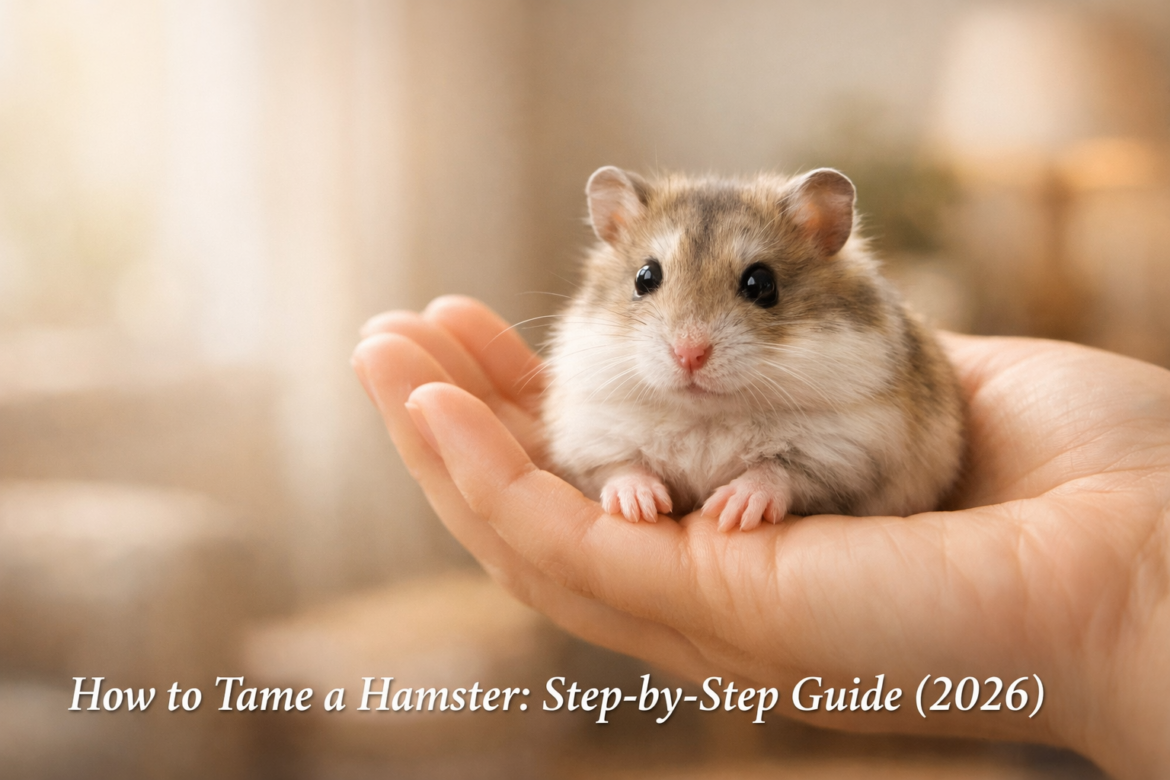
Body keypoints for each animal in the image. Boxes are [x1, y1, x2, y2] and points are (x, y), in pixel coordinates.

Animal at [540, 166, 964, 531]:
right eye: (645, 277)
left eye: (761, 284)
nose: (689, 353)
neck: (706, 417)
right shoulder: (591, 435)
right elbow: (620, 467)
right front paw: (638, 506)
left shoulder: (844, 452)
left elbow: (777, 471)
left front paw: (732, 509)